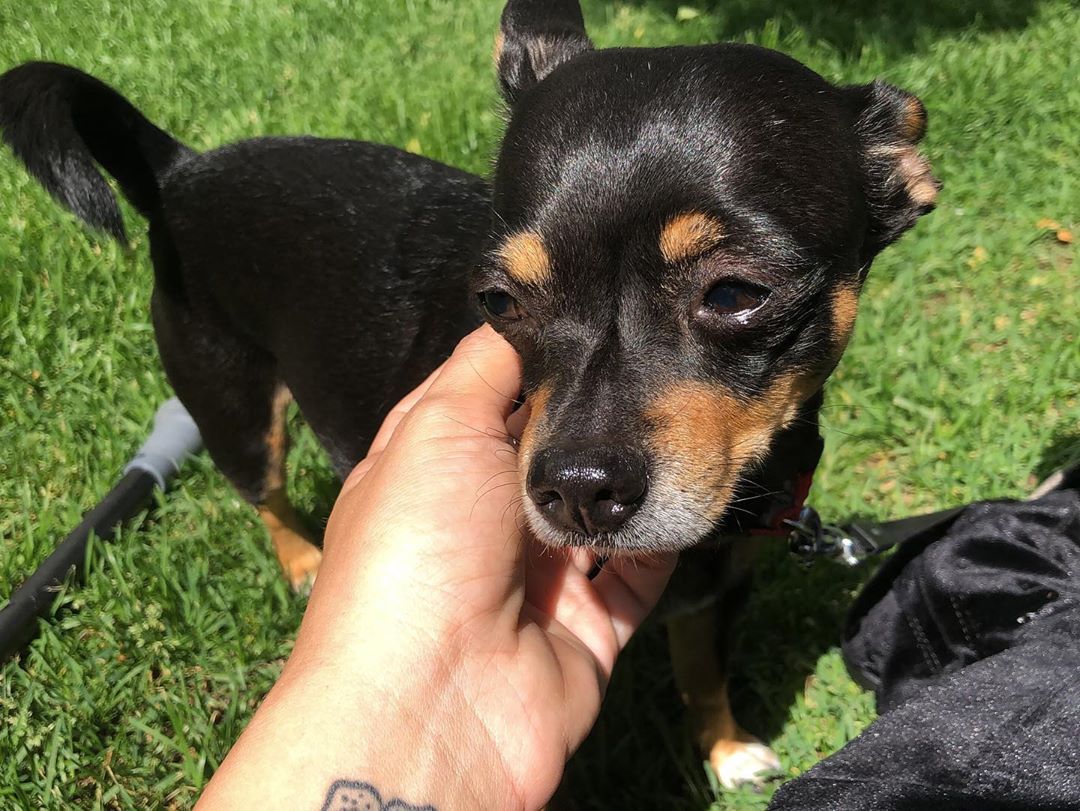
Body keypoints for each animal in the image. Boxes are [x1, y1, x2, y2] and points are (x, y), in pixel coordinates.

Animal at [0, 0, 937, 789]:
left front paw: (727, 748)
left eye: (739, 293)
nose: (576, 491)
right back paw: (304, 561)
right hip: (232, 411)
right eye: (499, 302)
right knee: (263, 493)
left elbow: (701, 672)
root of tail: (183, 169)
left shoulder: (717, 593)